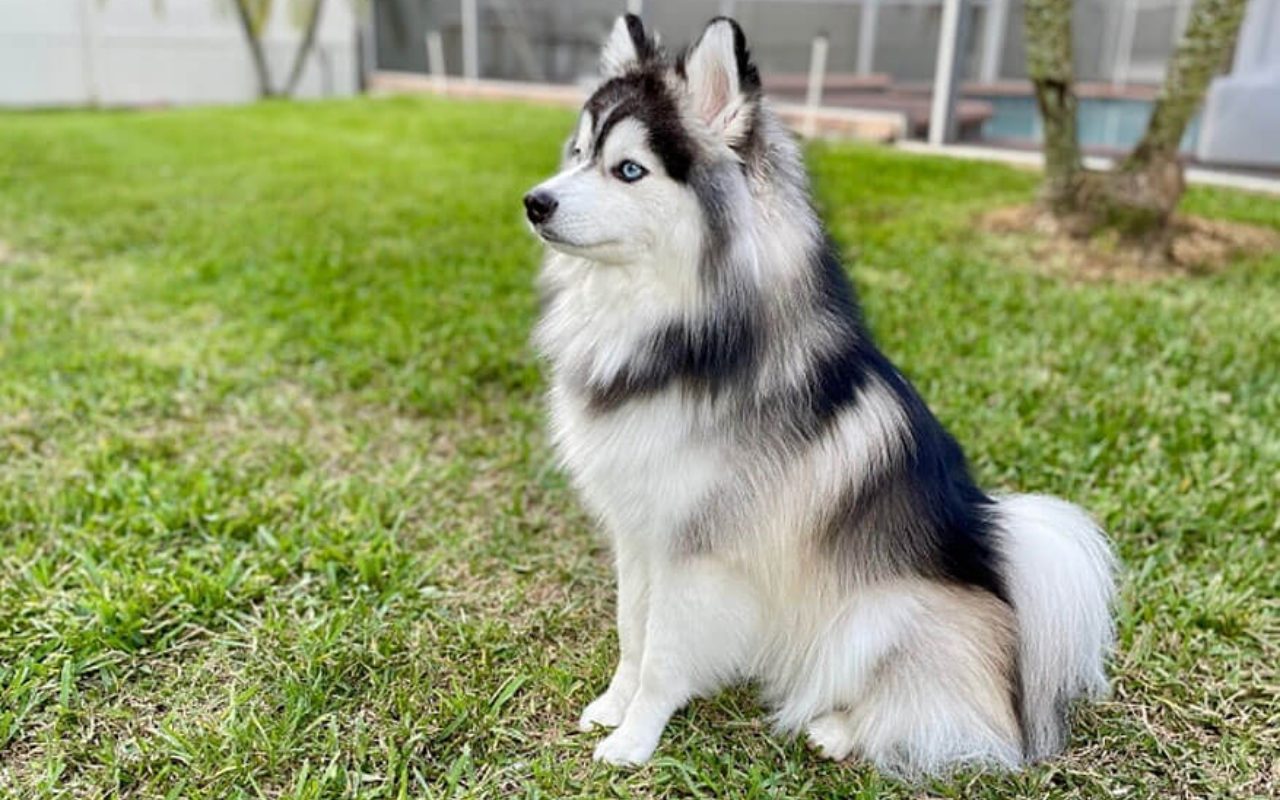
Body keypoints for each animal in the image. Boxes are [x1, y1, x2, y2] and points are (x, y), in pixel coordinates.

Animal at [524, 12, 1116, 773]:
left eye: (628, 169)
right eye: (578, 152)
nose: (534, 202)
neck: (680, 336)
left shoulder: (699, 551)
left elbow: (663, 654)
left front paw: (635, 739)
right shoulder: (638, 531)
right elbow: (634, 629)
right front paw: (612, 706)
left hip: (876, 615)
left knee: (954, 722)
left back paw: (838, 727)